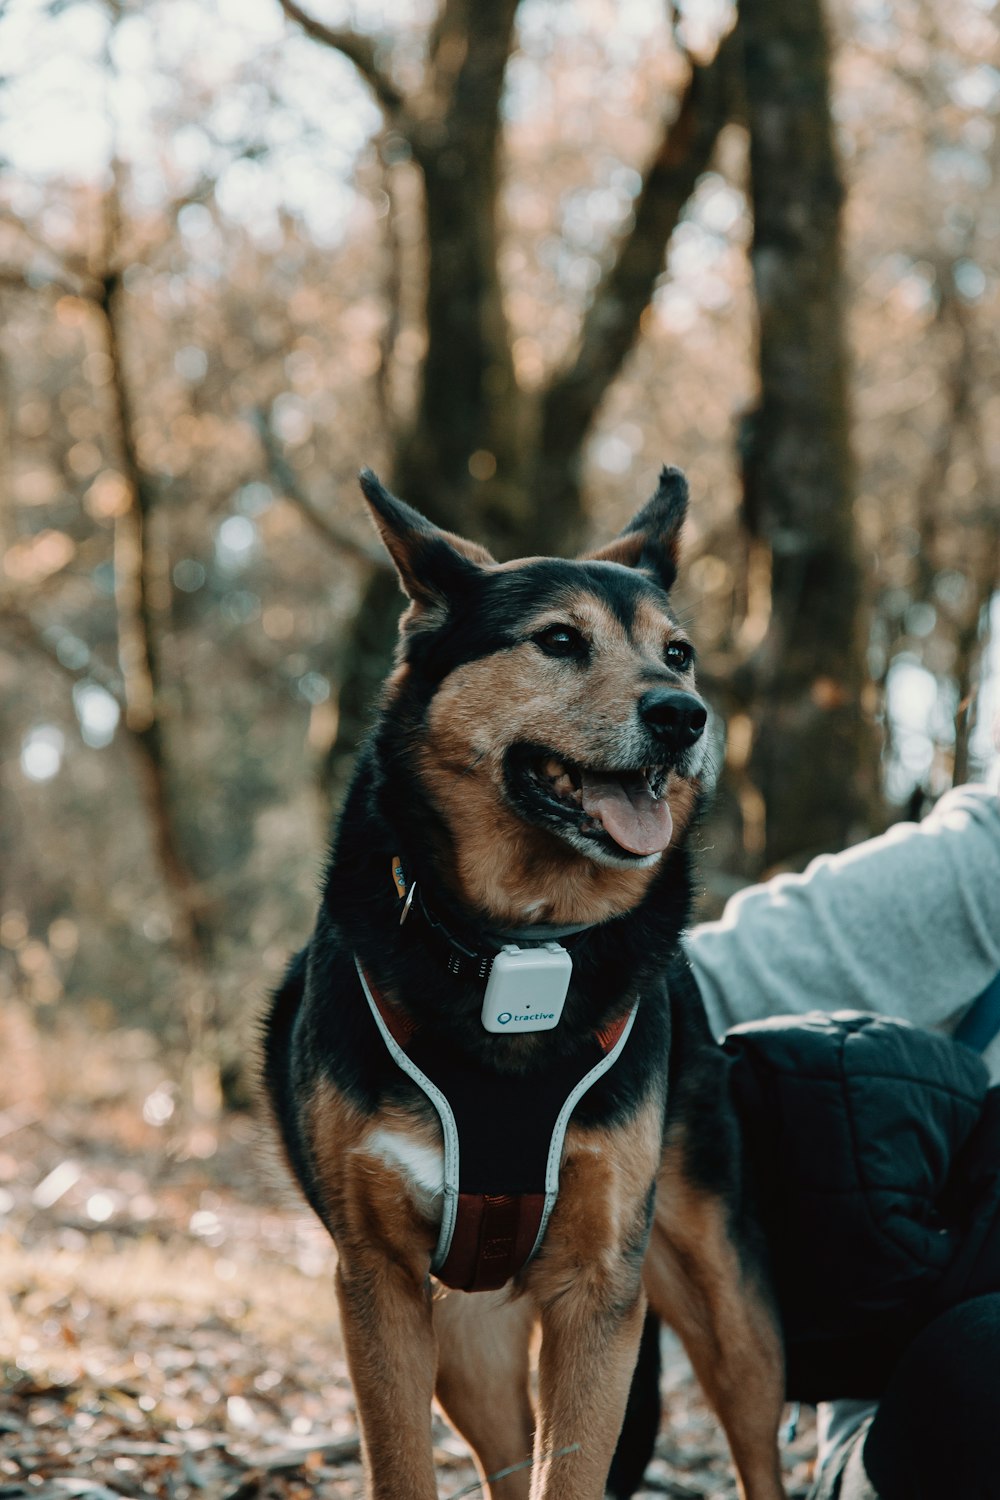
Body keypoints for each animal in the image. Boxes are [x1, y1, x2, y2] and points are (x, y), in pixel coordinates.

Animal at [263, 471, 791, 1500]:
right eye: (557, 640)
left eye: (679, 654)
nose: (684, 716)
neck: (522, 948)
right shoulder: (380, 1283)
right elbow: (402, 1468)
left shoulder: (599, 1288)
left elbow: (575, 1470)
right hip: (471, 1344)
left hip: (726, 1306)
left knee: (760, 1451)